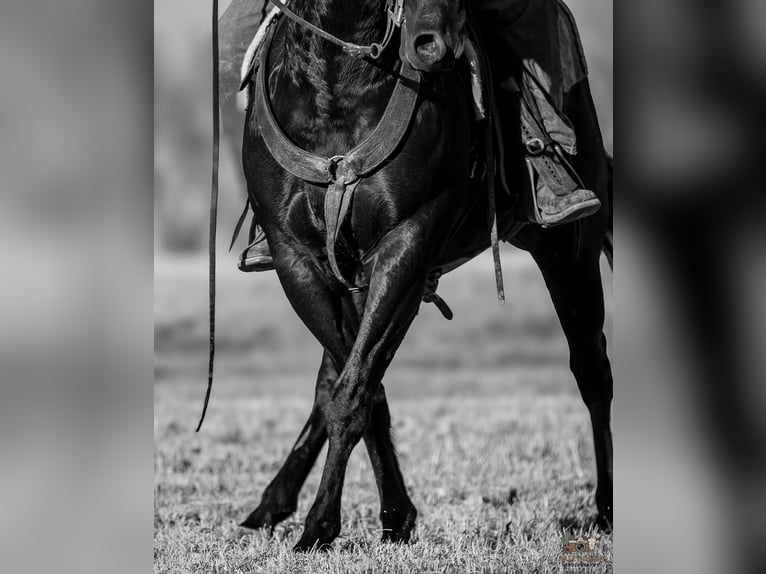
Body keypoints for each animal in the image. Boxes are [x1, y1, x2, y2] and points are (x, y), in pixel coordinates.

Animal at [237, 0, 612, 551]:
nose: (434, 44)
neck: (337, 82)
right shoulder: (298, 261)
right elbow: (357, 387)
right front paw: (392, 514)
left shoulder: (406, 246)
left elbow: (354, 391)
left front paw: (322, 525)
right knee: (331, 376)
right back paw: (271, 503)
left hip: (570, 256)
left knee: (592, 372)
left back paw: (606, 508)